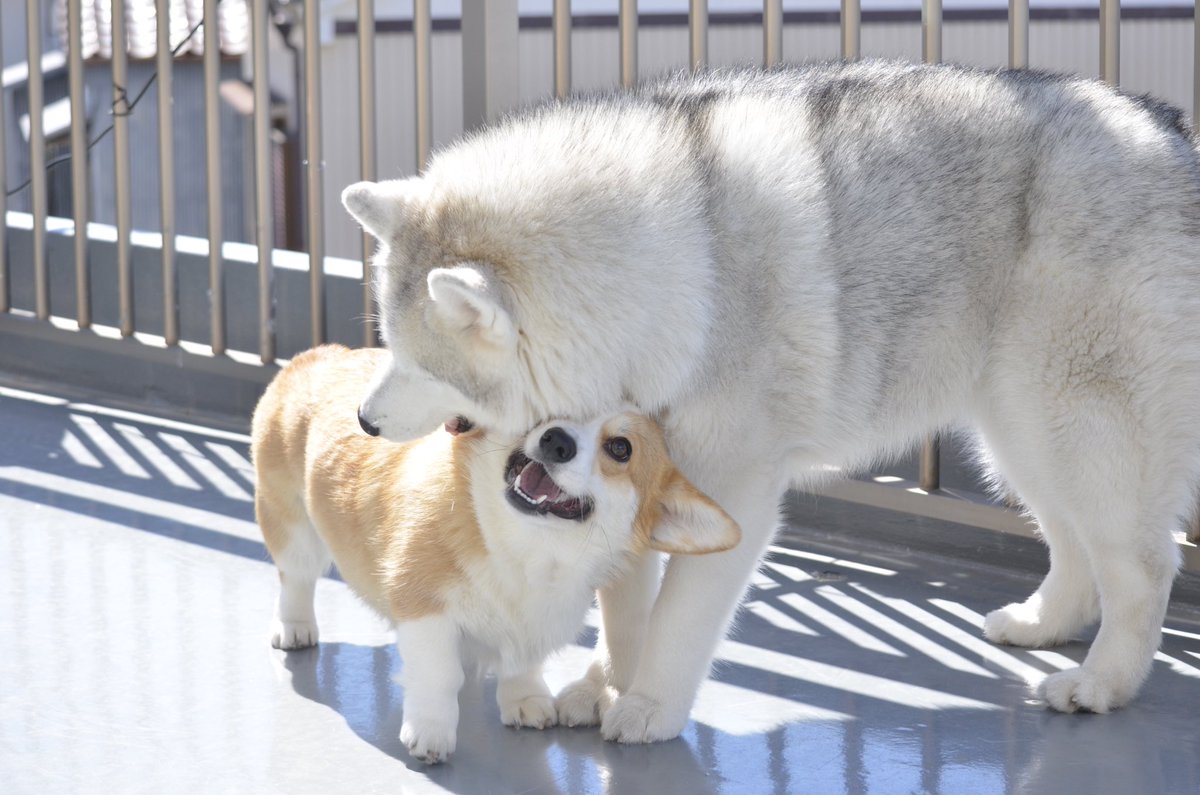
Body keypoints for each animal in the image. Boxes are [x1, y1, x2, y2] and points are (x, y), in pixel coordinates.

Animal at [250, 348, 739, 768]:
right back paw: (295, 628)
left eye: (620, 448)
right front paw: (430, 733)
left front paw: (524, 700)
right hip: (291, 524)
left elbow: (522, 664)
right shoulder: (422, 604)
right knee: (296, 578)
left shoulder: (533, 625)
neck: (529, 548)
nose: (556, 440)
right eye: (549, 411)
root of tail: (318, 355)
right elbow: (437, 674)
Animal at [343, 60, 1200, 739]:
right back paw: (1044, 623)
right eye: (388, 341)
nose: (364, 420)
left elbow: (678, 618)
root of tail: (1165, 129)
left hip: (1075, 429)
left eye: (424, 364)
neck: (681, 271)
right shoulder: (635, 478)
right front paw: (608, 684)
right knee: (1072, 543)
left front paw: (647, 705)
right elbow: (625, 607)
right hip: (1022, 438)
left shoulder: (734, 489)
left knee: (1142, 564)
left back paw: (1102, 681)